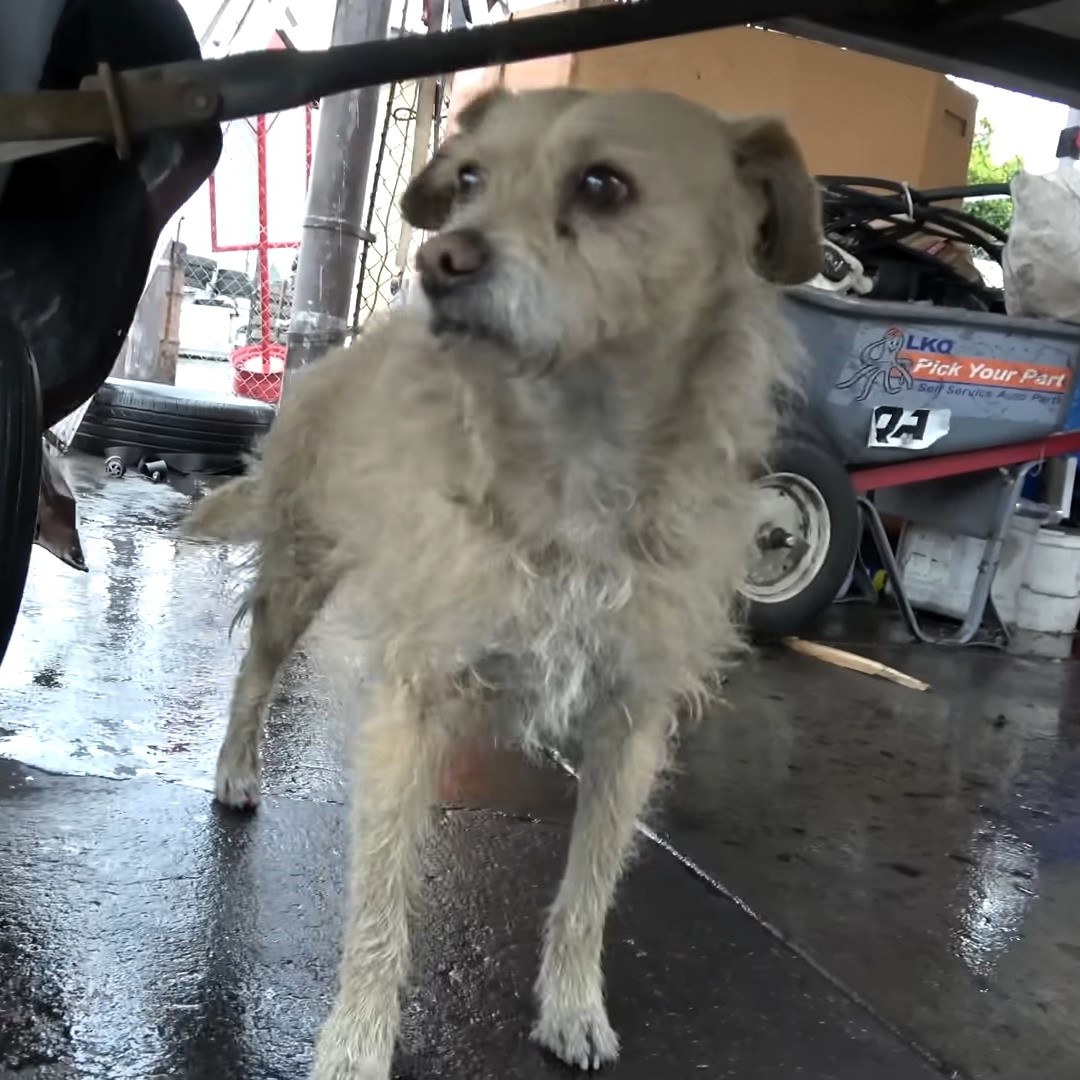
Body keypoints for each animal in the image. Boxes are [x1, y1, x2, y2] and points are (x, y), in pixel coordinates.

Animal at [185, 88, 816, 1075]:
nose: (437, 260)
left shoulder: (632, 725)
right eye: (471, 178)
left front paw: (572, 1003)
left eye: (603, 185)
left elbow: (591, 887)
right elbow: (380, 905)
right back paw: (237, 769)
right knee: (254, 676)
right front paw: (356, 1042)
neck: (575, 463)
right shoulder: (410, 706)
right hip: (297, 573)